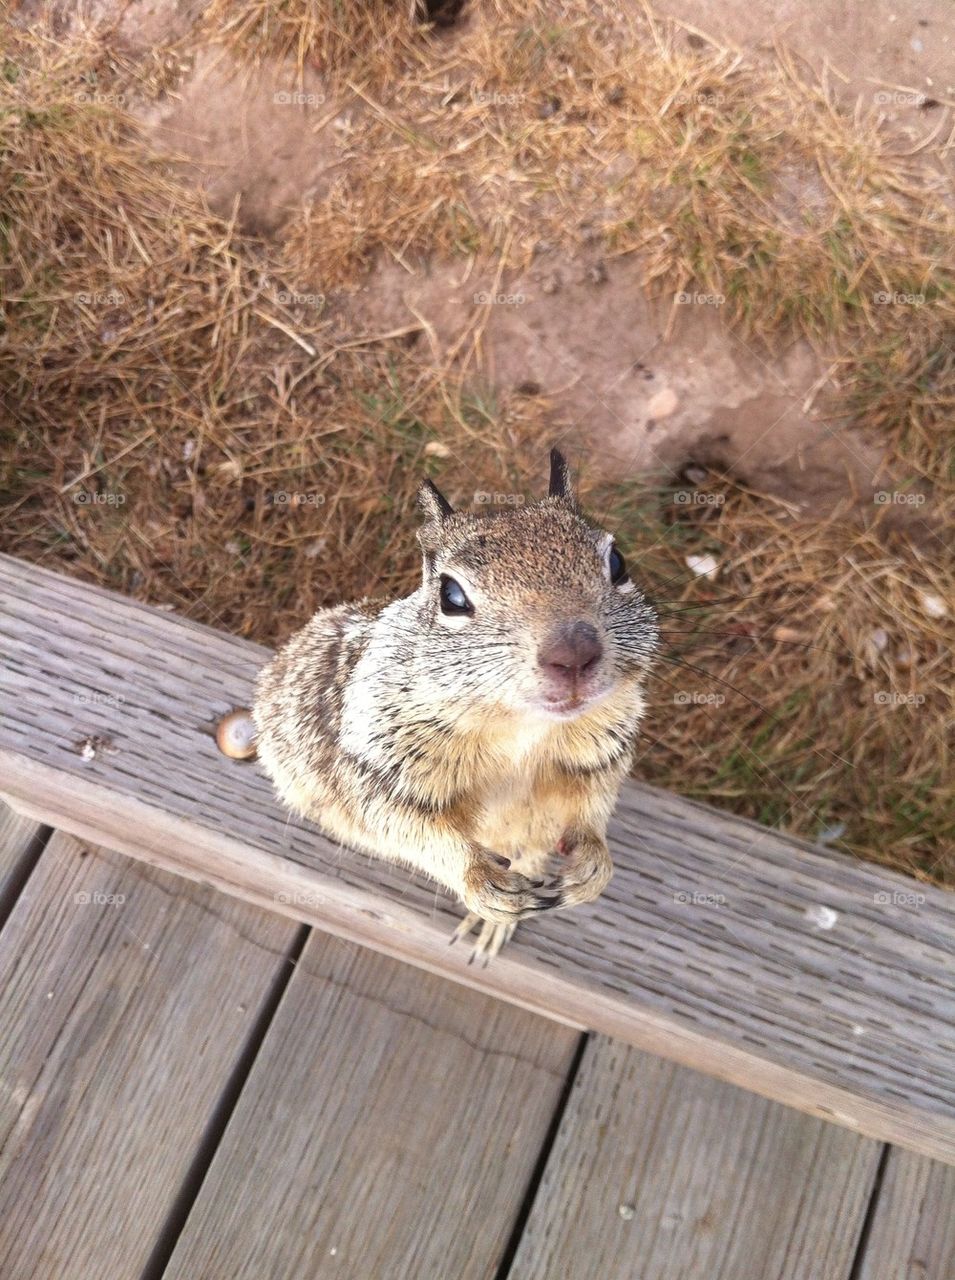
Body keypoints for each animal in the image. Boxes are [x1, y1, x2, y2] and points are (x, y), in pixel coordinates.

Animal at [252, 449, 658, 960]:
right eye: (451, 595)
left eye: (618, 563)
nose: (574, 653)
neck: (523, 730)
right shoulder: (379, 772)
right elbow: (408, 828)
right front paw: (481, 882)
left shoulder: (600, 758)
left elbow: (590, 813)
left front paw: (593, 864)